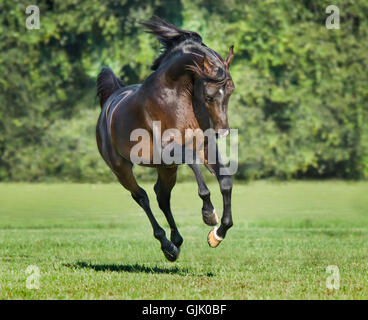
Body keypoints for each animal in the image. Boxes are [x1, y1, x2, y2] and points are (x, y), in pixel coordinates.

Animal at [96, 16, 234, 262]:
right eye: (209, 95)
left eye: (231, 91)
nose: (223, 132)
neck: (175, 95)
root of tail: (109, 103)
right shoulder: (173, 150)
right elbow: (197, 171)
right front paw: (209, 214)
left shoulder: (206, 146)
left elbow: (226, 181)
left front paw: (217, 235)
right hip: (121, 168)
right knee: (141, 197)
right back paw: (167, 246)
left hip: (165, 169)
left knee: (162, 196)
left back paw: (176, 241)